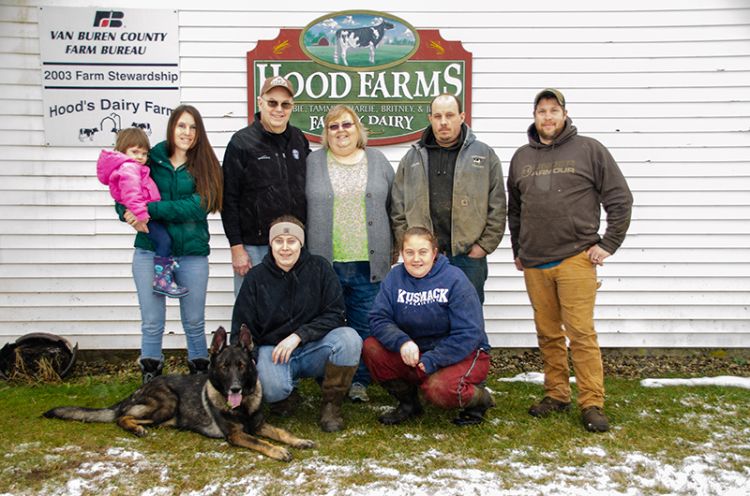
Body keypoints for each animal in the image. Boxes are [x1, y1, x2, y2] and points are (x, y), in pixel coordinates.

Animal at [44, 326, 314, 462]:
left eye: (242, 365)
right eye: (224, 366)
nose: (235, 388)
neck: (243, 406)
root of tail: (138, 390)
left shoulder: (258, 424)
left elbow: (281, 432)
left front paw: (298, 440)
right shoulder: (237, 435)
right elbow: (261, 442)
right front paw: (278, 451)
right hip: (167, 402)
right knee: (121, 417)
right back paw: (136, 428)